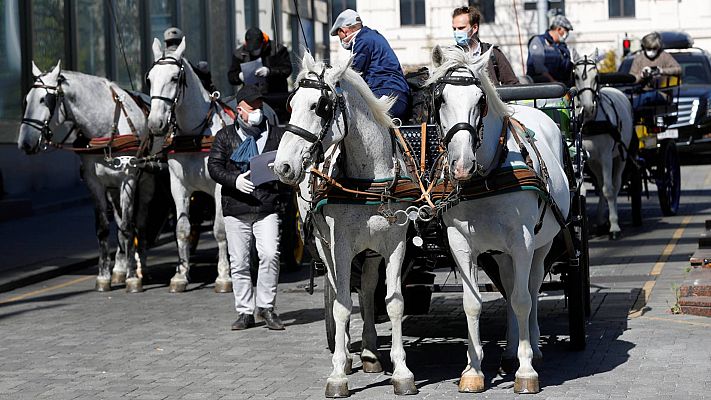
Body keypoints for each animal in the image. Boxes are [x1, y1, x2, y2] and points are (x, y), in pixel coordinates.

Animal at [19, 60, 150, 290]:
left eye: (46, 100)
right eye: (26, 100)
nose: (25, 143)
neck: (106, 129)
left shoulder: (128, 179)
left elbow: (128, 226)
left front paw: (133, 277)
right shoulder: (95, 183)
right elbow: (104, 228)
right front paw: (105, 276)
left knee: (138, 222)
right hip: (112, 189)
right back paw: (120, 268)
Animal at [146, 38, 238, 294]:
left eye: (174, 78)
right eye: (149, 79)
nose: (155, 123)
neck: (195, 134)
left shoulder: (220, 187)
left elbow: (219, 229)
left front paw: (224, 276)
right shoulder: (178, 186)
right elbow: (182, 229)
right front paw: (180, 275)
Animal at [272, 53, 418, 396]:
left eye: (320, 106)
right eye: (290, 103)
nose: (282, 166)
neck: (369, 178)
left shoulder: (395, 243)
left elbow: (394, 302)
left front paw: (402, 372)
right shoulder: (340, 246)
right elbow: (341, 305)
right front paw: (338, 374)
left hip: (371, 251)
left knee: (366, 290)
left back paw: (369, 353)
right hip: (325, 246)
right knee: (345, 292)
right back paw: (351, 356)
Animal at [428, 47, 572, 394]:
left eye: (481, 99)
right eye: (440, 98)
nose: (461, 164)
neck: (486, 178)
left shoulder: (523, 241)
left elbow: (522, 300)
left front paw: (526, 370)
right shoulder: (460, 243)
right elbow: (473, 303)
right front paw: (473, 370)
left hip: (541, 245)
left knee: (530, 288)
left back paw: (533, 347)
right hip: (501, 254)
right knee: (508, 286)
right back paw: (509, 351)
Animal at [576, 50, 636, 238]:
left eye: (597, 77)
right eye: (575, 75)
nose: (587, 107)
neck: (592, 120)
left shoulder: (607, 156)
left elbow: (609, 189)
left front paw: (614, 226)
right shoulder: (587, 159)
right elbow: (596, 187)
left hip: (620, 156)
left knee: (615, 185)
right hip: (595, 162)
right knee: (601, 183)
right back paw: (601, 220)